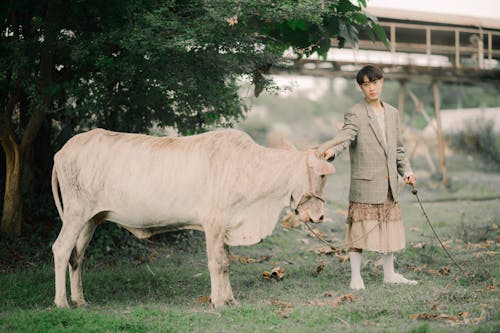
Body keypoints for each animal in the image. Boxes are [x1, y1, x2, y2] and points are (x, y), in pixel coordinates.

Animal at [50, 126, 344, 306]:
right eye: (321, 175)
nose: (319, 216)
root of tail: (62, 151)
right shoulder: (213, 223)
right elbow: (216, 263)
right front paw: (218, 301)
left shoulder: (225, 226)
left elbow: (226, 263)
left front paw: (230, 300)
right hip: (75, 213)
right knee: (62, 249)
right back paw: (62, 302)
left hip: (91, 219)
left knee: (78, 256)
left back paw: (80, 300)